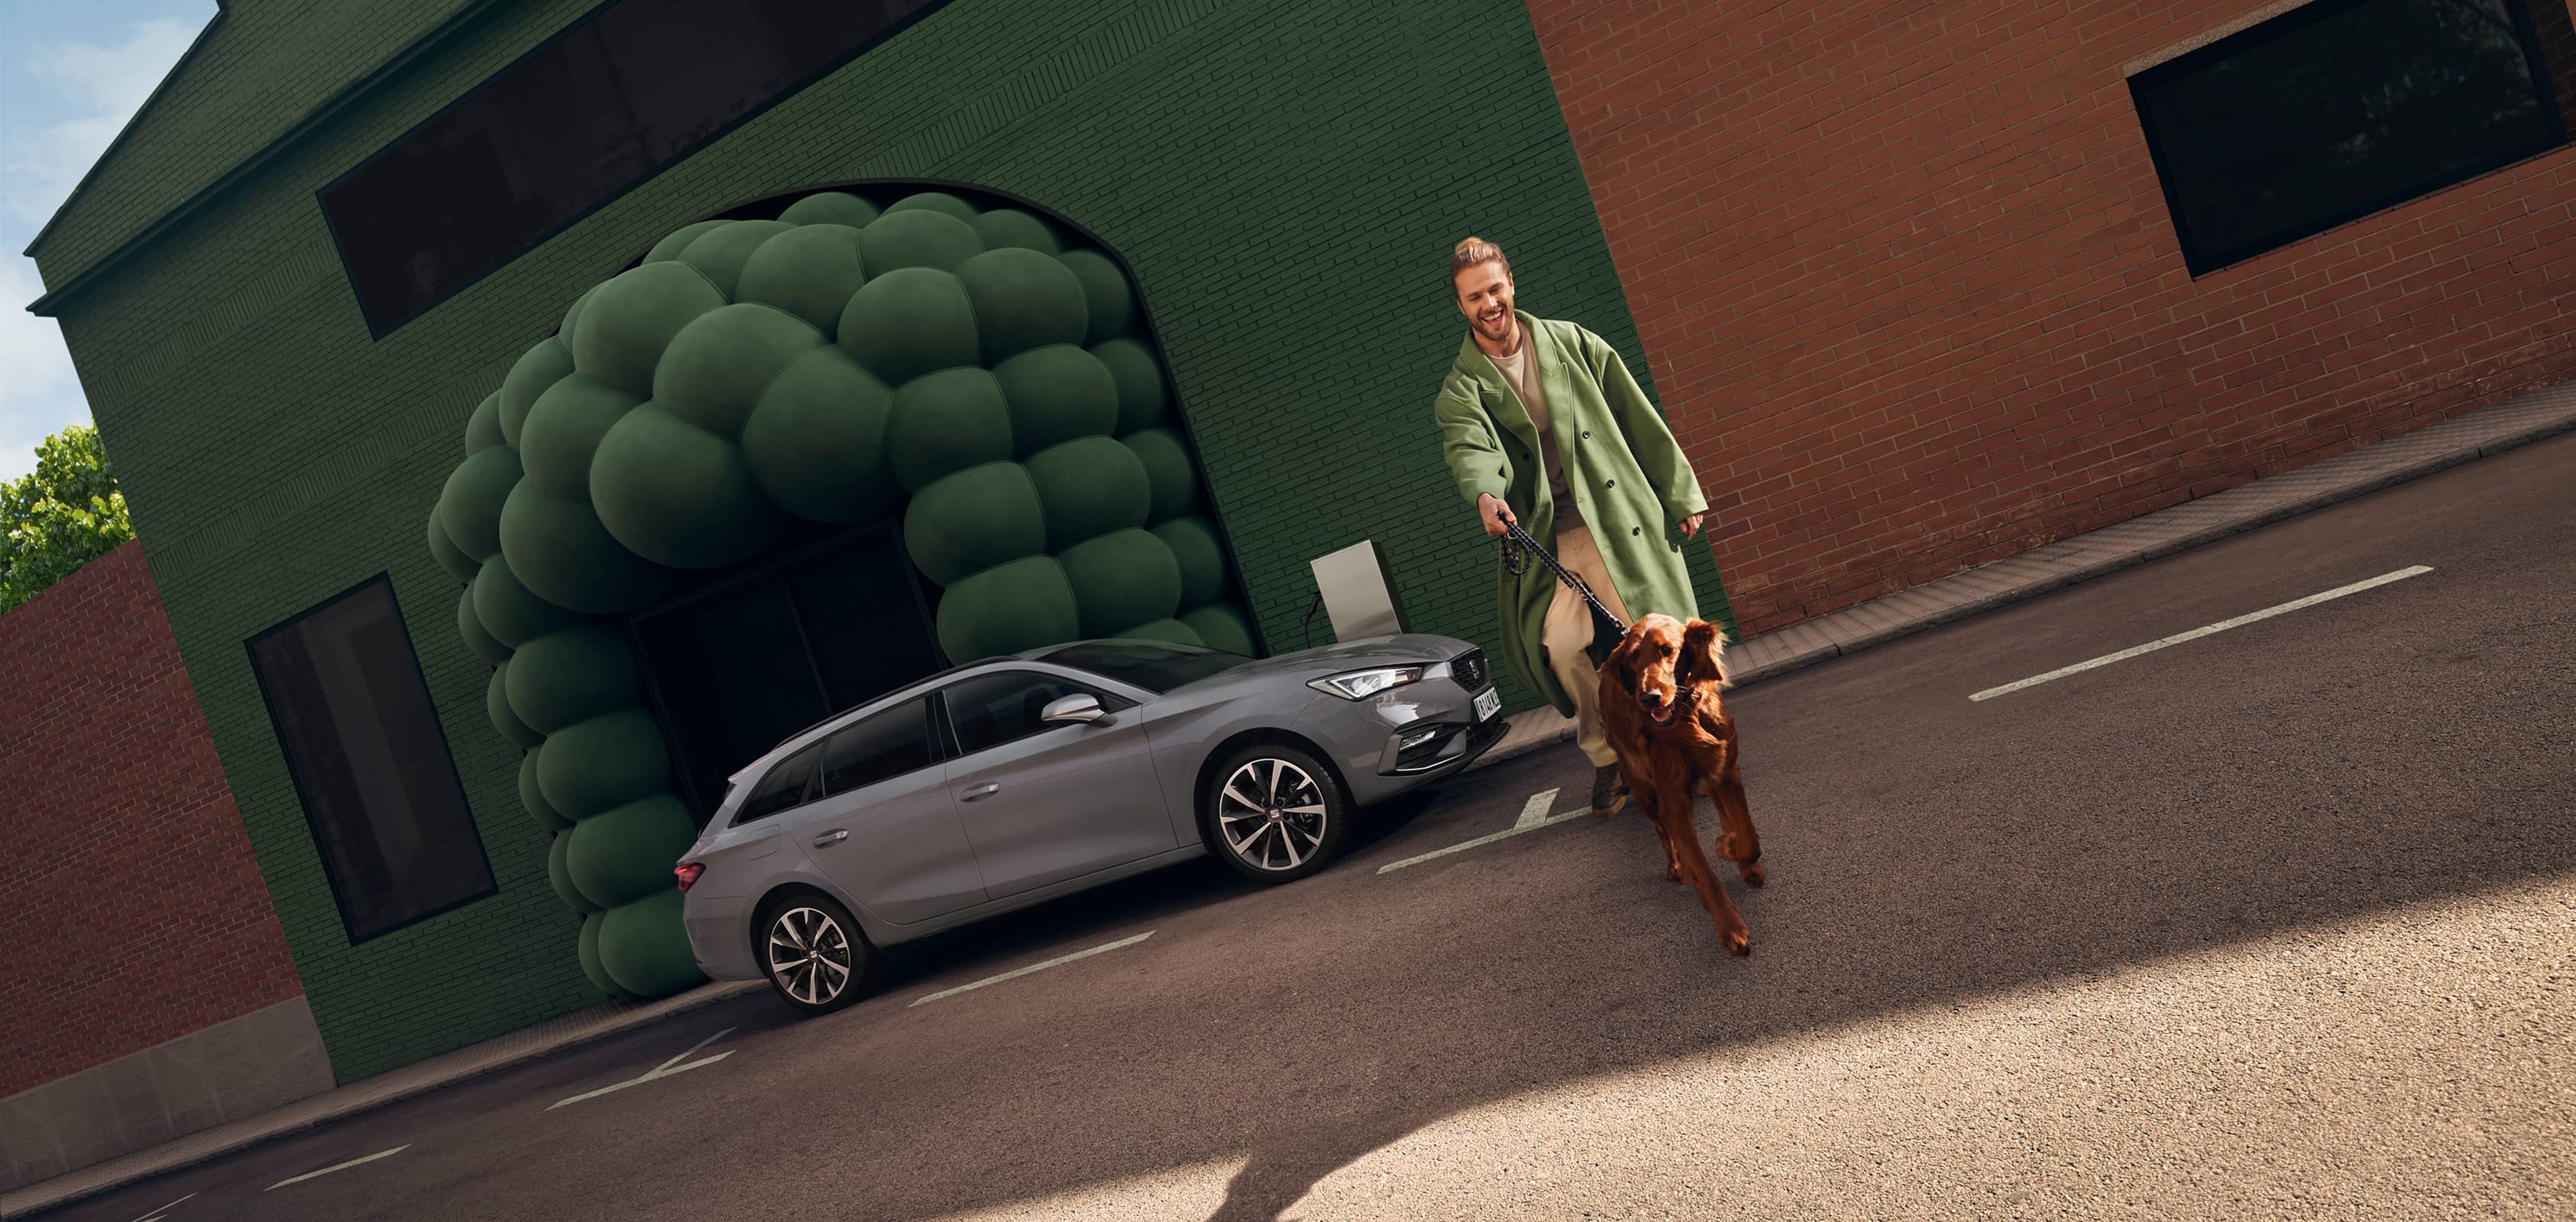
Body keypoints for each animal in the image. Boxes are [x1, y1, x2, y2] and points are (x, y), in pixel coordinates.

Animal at [1597, 611, 1762, 953]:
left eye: (1668, 650)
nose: (1649, 698)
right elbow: (1703, 869)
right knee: (1662, 831)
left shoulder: (1727, 770)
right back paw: (1676, 867)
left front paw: (1734, 850)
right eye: (1631, 660)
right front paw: (1731, 928)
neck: (1686, 715)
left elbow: (1749, 839)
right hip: (1645, 790)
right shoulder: (1672, 798)